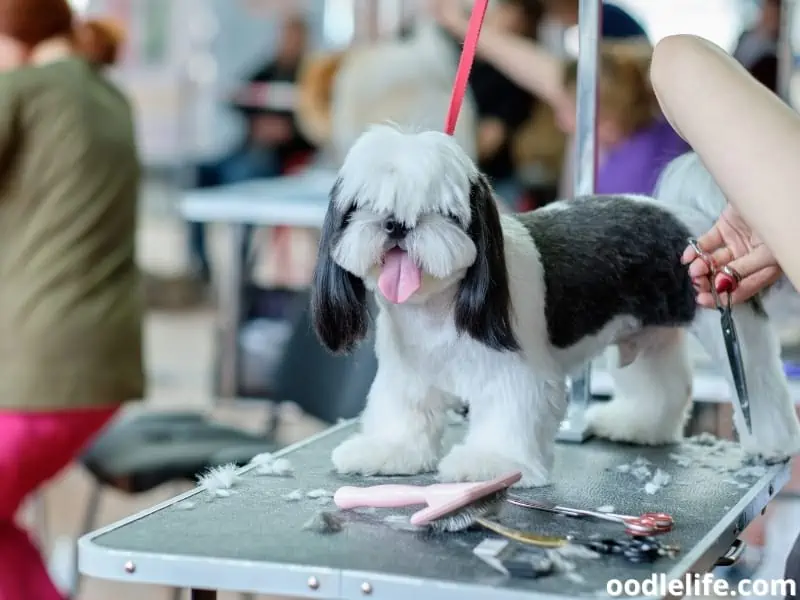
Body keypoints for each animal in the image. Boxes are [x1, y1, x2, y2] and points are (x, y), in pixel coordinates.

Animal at [310, 126, 800, 488]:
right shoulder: (407, 375)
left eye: (441, 211)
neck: (438, 308)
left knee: (759, 382)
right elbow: (403, 414)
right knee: (662, 384)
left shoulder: (517, 376)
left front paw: (490, 463)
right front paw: (388, 451)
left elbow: (509, 416)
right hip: (647, 333)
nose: (395, 224)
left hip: (729, 323)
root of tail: (686, 217)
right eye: (361, 207)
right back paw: (638, 426)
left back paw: (772, 442)